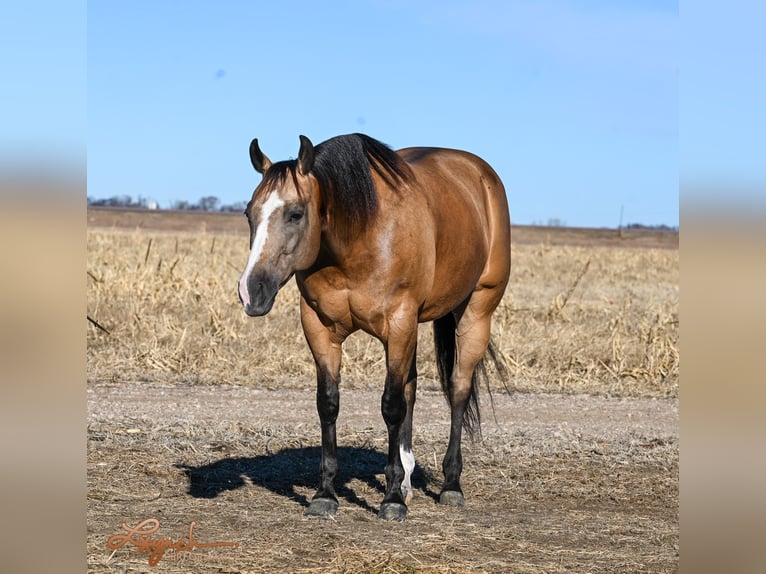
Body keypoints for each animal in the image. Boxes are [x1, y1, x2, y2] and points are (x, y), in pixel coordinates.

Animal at [237, 134, 512, 520]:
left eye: (295, 213)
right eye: (249, 213)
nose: (251, 290)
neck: (357, 240)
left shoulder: (398, 325)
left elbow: (392, 405)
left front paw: (392, 499)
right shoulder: (320, 328)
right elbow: (329, 403)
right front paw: (326, 494)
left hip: (476, 312)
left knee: (458, 389)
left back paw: (450, 485)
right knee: (412, 388)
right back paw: (409, 480)